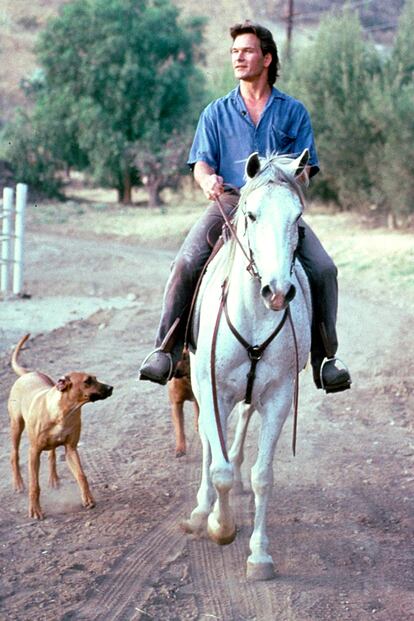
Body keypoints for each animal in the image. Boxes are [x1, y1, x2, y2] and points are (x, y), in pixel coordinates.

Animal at [8, 334, 114, 520]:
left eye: (95, 377)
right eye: (87, 381)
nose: (111, 388)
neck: (64, 412)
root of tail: (28, 374)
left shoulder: (71, 449)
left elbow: (81, 475)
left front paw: (88, 498)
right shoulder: (34, 451)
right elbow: (34, 485)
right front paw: (35, 509)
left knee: (52, 455)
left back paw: (54, 479)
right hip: (16, 425)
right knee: (14, 454)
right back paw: (19, 483)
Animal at [183, 149, 312, 580]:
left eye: (297, 218)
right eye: (252, 215)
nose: (278, 292)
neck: (254, 316)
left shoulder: (278, 396)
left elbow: (263, 476)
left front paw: (259, 555)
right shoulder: (213, 390)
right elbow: (219, 467)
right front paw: (219, 526)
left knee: (241, 427)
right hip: (201, 386)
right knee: (209, 446)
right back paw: (201, 509)